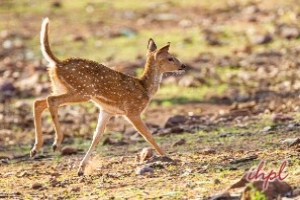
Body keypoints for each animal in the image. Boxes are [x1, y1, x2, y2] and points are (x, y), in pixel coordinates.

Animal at [30, 18, 185, 176]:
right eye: (170, 58)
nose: (183, 66)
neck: (145, 88)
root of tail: (57, 63)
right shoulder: (132, 110)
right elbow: (148, 135)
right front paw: (169, 158)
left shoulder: (107, 111)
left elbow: (97, 136)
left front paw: (81, 169)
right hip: (83, 91)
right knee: (51, 100)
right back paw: (55, 143)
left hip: (60, 87)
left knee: (39, 102)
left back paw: (35, 149)